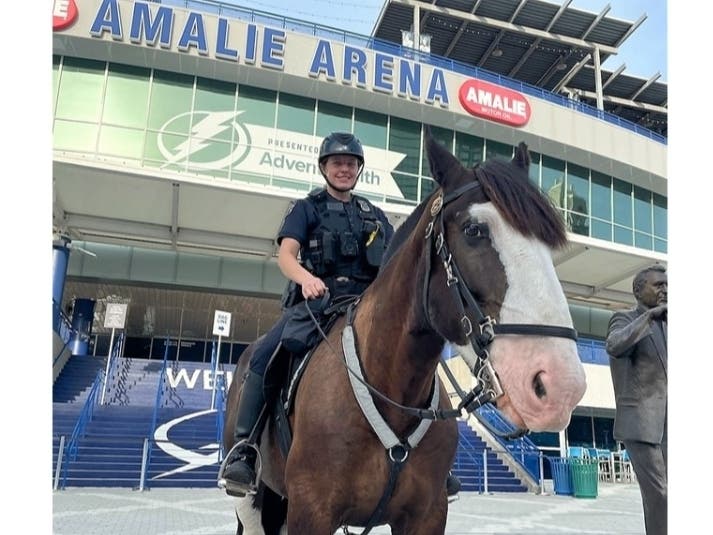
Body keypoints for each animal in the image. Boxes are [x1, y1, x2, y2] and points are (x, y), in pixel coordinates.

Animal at [220, 127, 587, 534]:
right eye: (474, 230)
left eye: (548, 245)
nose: (561, 386)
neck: (390, 388)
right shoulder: (311, 512)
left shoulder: (427, 515)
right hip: (254, 501)